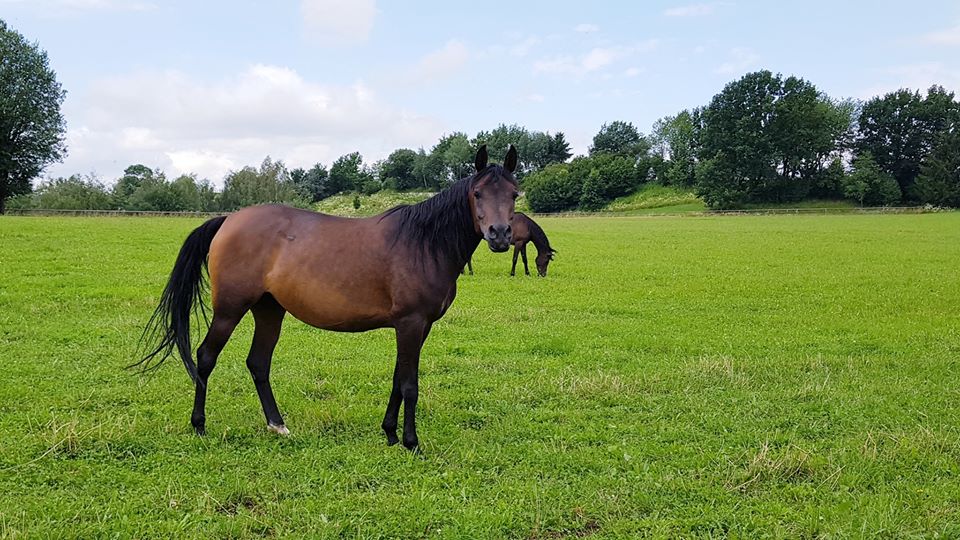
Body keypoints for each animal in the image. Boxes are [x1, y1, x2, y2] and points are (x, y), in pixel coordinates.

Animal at [136, 145, 519, 451]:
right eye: (478, 193)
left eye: (514, 194)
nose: (500, 235)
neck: (423, 243)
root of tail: (229, 219)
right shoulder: (410, 323)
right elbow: (410, 384)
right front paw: (411, 443)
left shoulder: (417, 327)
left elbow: (398, 379)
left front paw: (390, 433)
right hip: (230, 310)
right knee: (205, 357)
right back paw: (199, 425)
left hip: (269, 310)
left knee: (258, 363)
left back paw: (278, 425)